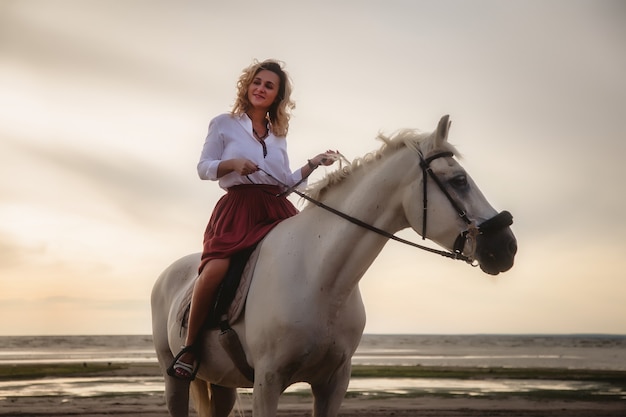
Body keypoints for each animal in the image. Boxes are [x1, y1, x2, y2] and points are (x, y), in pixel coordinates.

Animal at [150, 115, 512, 416]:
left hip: (222, 382)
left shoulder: (333, 383)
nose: (507, 246)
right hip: (175, 379)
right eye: (459, 180)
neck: (321, 277)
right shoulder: (267, 382)